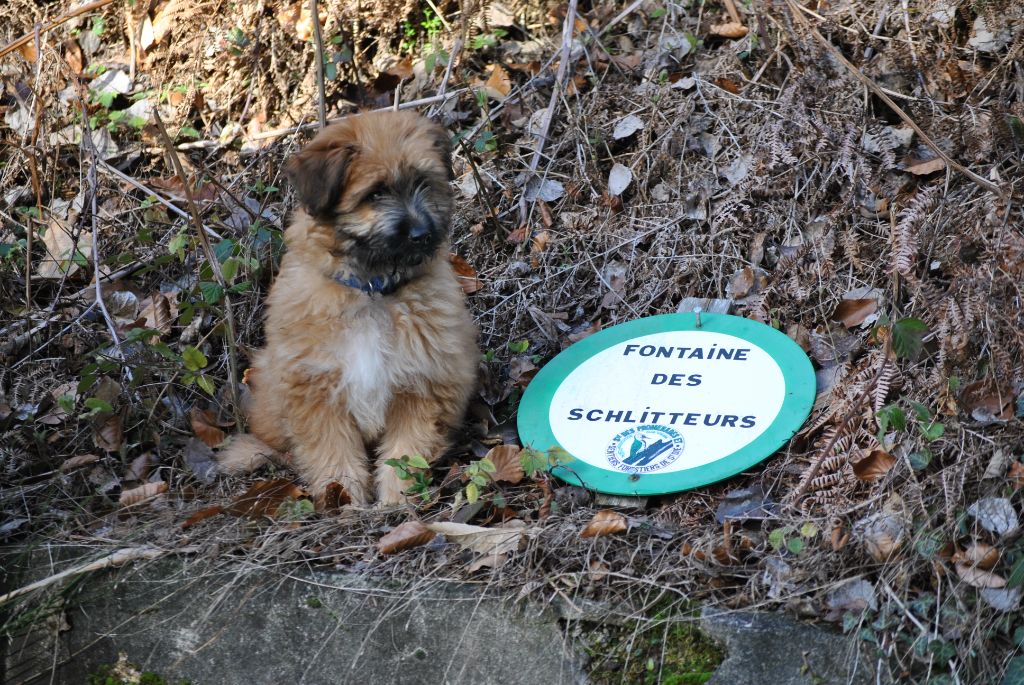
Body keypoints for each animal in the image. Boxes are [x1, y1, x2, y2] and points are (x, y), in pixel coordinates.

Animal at [218, 112, 477, 505]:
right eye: (376, 193)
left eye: (423, 182)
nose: (422, 234)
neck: (373, 291)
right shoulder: (315, 389)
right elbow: (331, 450)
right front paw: (344, 498)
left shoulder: (423, 383)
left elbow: (406, 450)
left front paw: (396, 500)